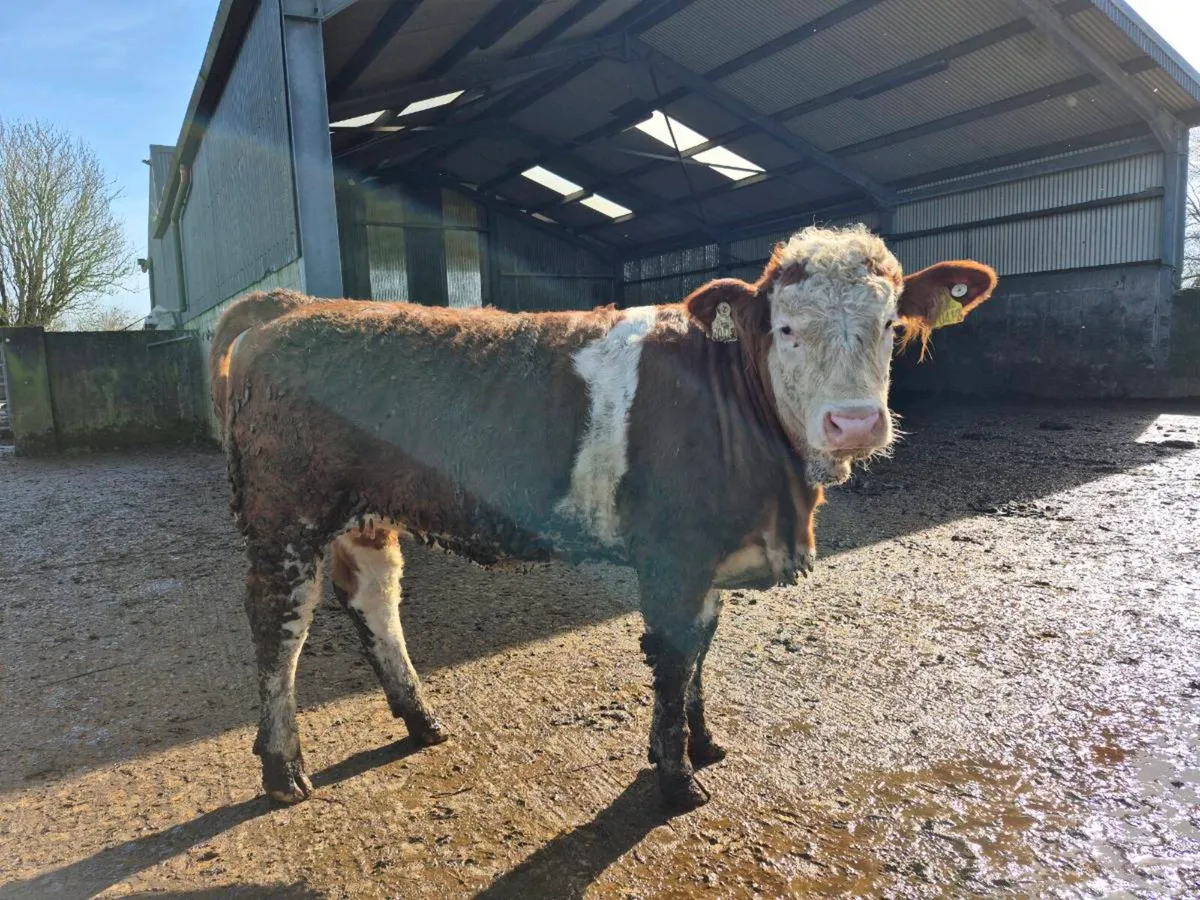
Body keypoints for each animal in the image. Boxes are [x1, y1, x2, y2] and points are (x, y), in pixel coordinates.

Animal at [211, 225, 996, 811]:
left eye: (890, 323)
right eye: (785, 328)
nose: (854, 423)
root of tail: (292, 304)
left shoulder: (707, 558)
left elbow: (702, 651)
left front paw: (702, 745)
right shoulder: (673, 554)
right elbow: (676, 661)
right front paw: (677, 780)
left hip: (364, 515)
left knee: (374, 599)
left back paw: (420, 720)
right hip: (287, 515)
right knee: (279, 627)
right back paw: (283, 769)